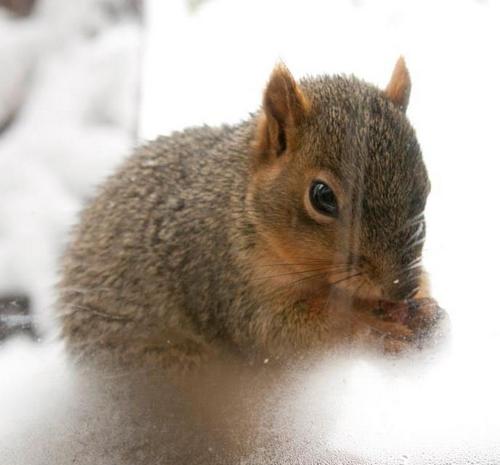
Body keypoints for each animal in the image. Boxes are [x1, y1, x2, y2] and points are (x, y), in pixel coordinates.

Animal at [57, 57, 446, 370]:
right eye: (322, 196)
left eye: (426, 187)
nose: (402, 288)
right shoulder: (227, 281)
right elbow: (285, 332)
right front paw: (372, 328)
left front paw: (426, 309)